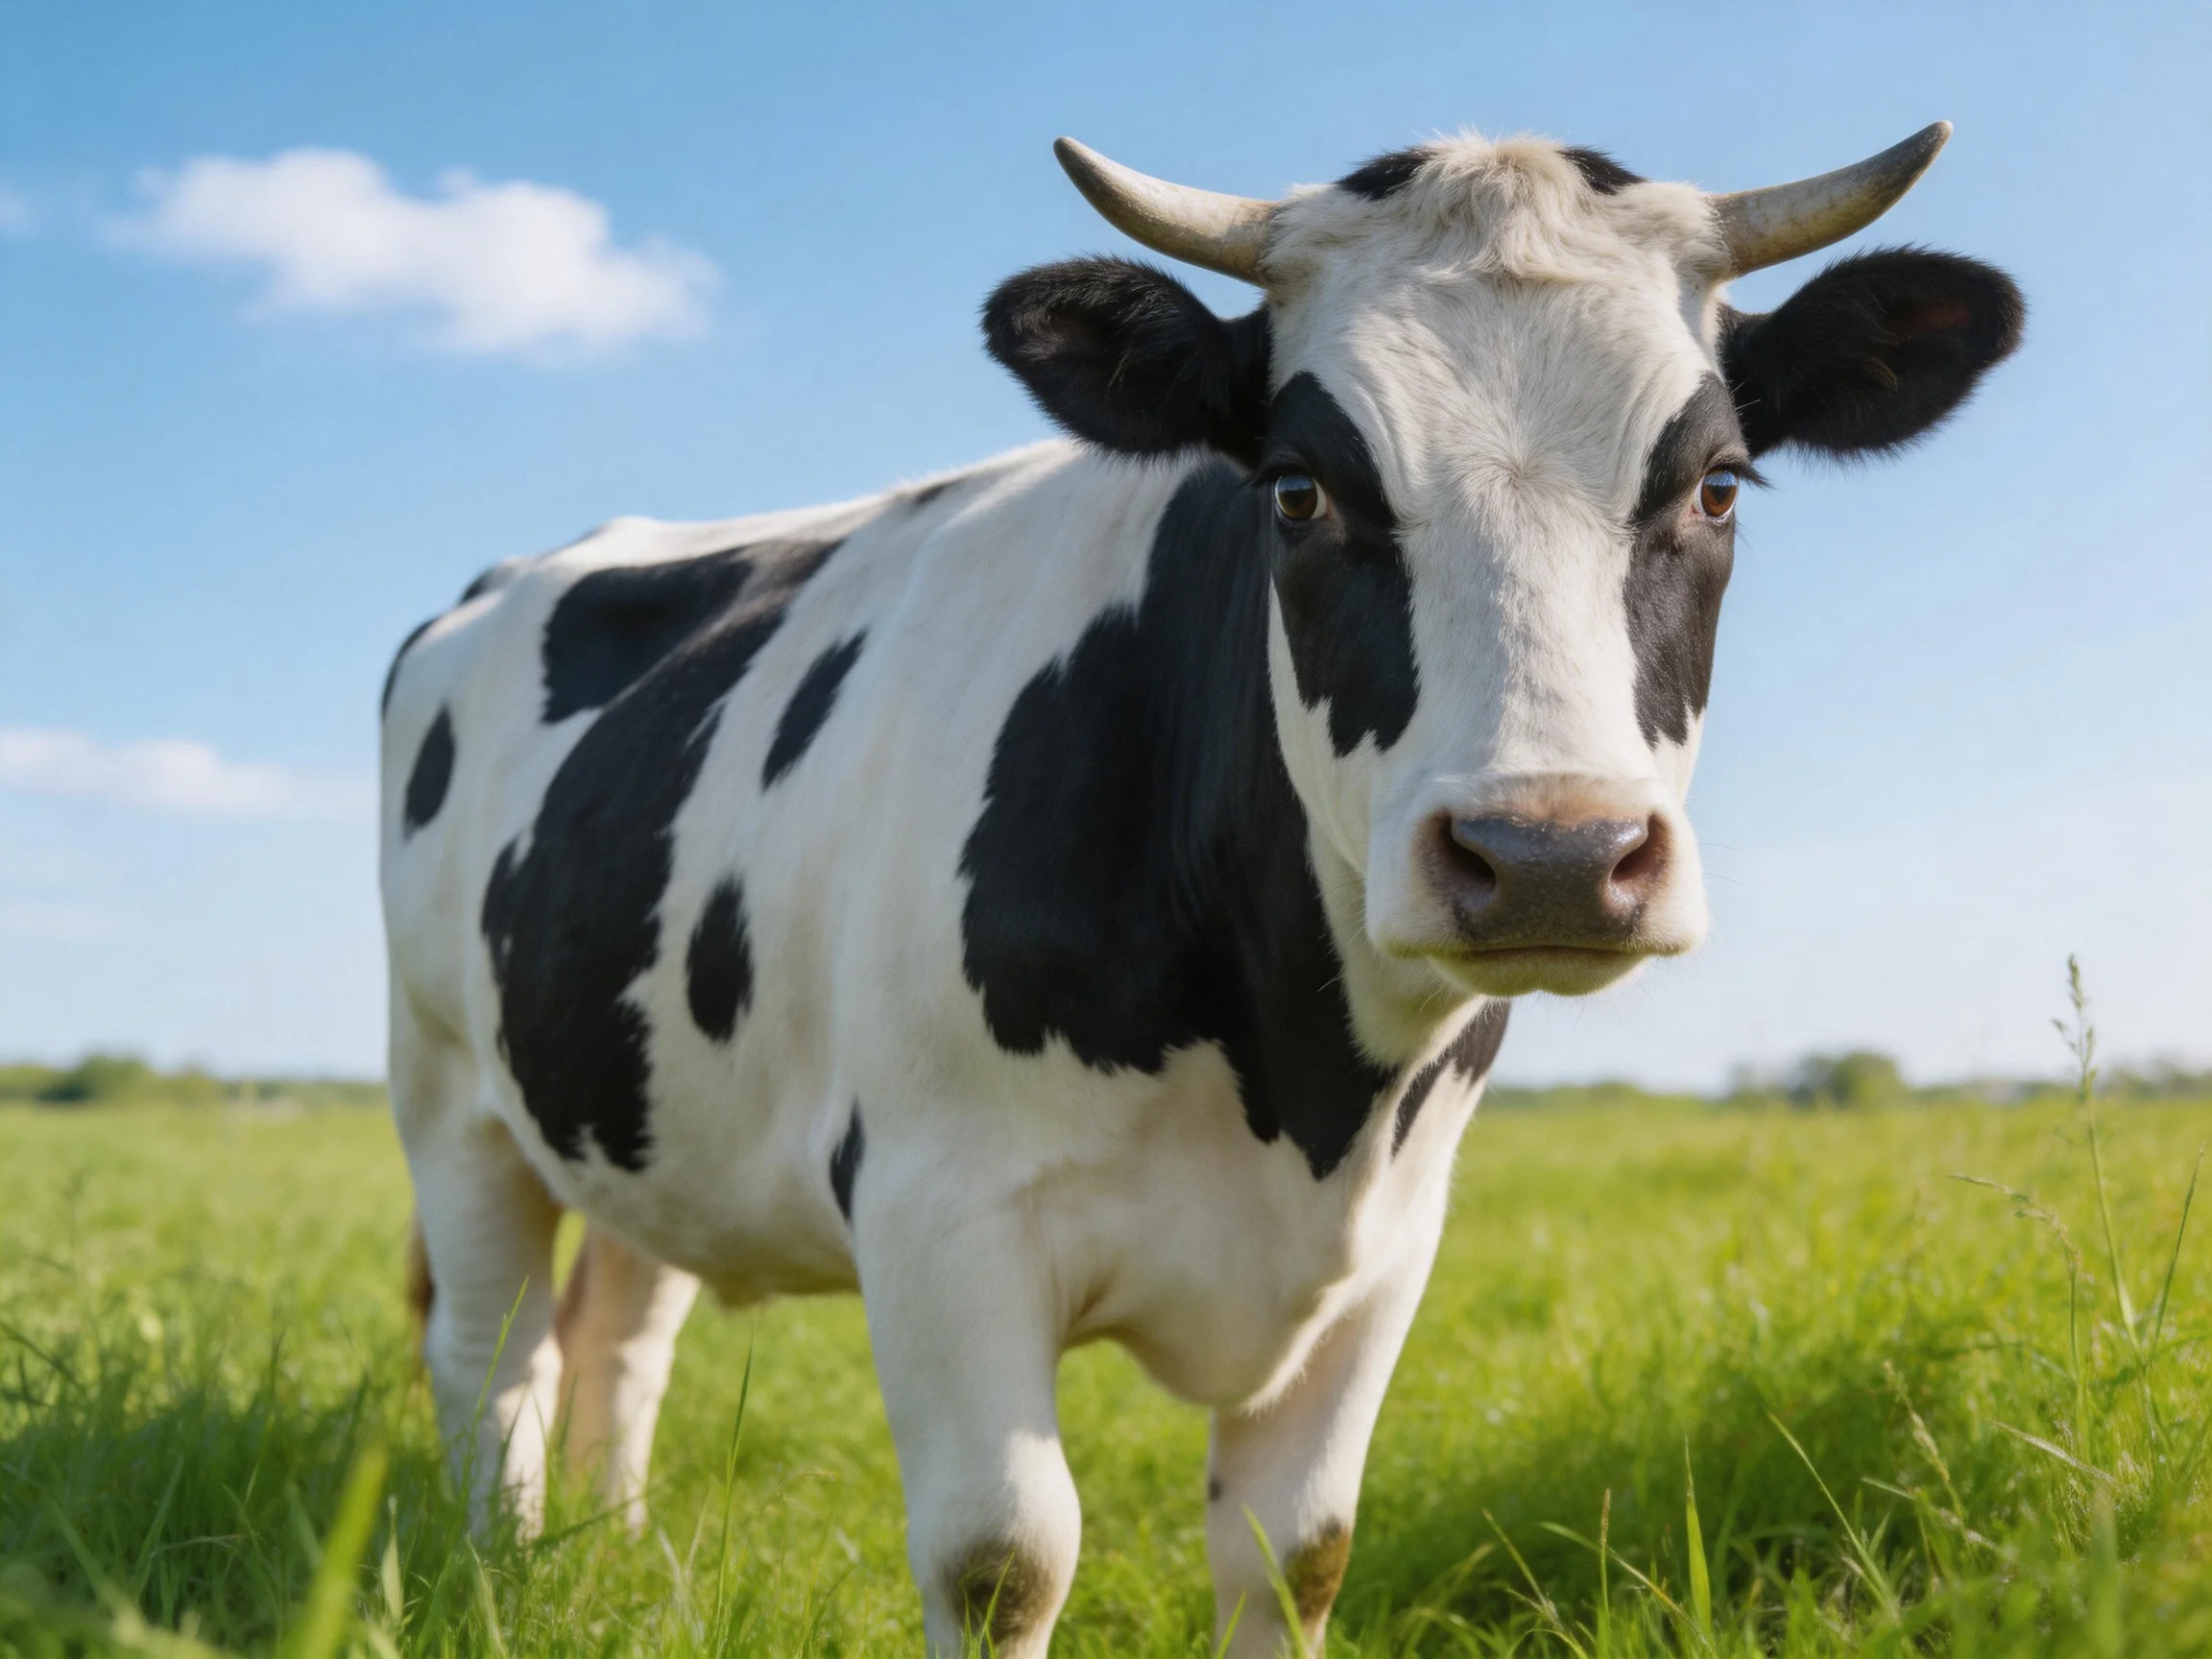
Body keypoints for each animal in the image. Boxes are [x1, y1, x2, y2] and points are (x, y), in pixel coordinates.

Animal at [379, 124, 2020, 1655]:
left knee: (617, 1333)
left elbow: (1299, 1553)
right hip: (450, 1093)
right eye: (1298, 491)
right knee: (493, 1356)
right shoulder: (935, 1210)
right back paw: (505, 1580)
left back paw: (616, 1568)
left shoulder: (1388, 1248)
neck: (1298, 1083)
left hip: (645, 1108)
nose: (1550, 855)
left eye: (1720, 486)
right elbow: (1003, 1556)